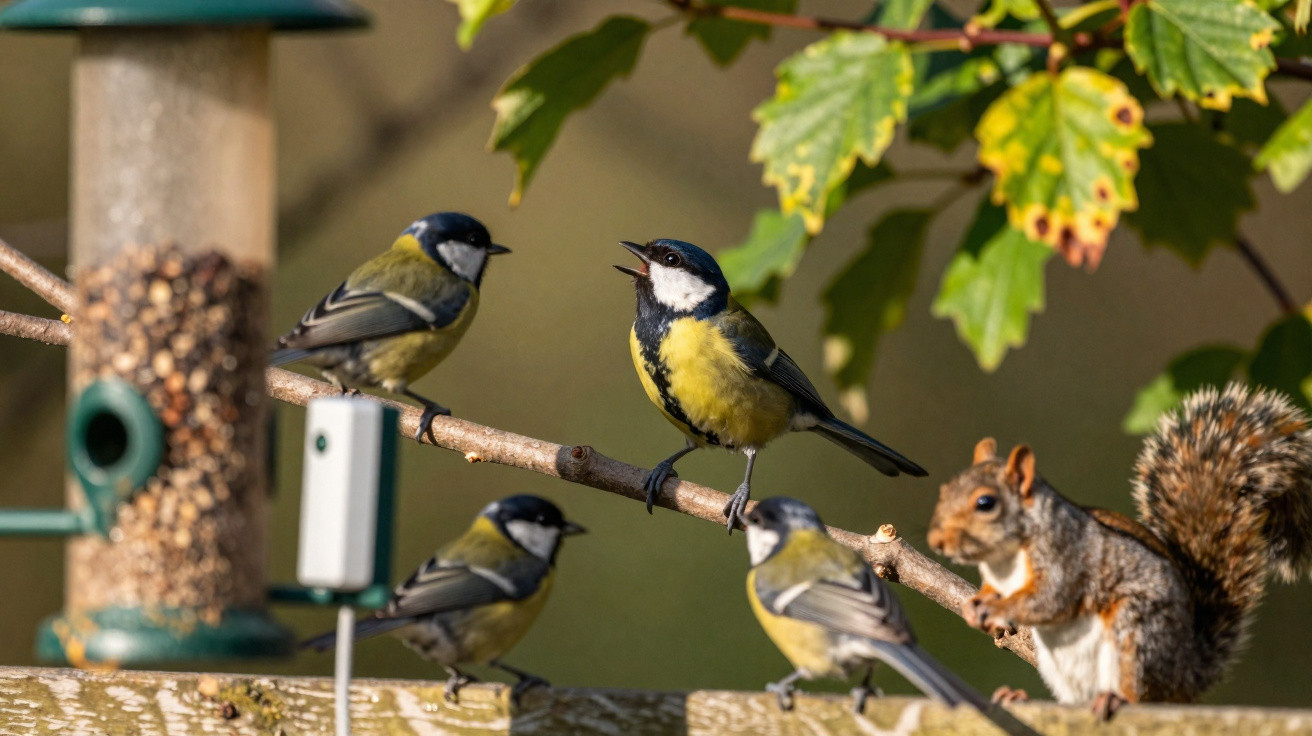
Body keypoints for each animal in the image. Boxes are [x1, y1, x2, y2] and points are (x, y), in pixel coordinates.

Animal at [926, 383, 1312, 720]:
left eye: (985, 503)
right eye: (943, 491)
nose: (937, 541)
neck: (1005, 559)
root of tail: (1185, 678)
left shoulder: (1066, 560)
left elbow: (1049, 601)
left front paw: (997, 609)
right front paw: (974, 607)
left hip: (1136, 634)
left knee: (1140, 694)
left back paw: (1116, 699)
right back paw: (1019, 698)